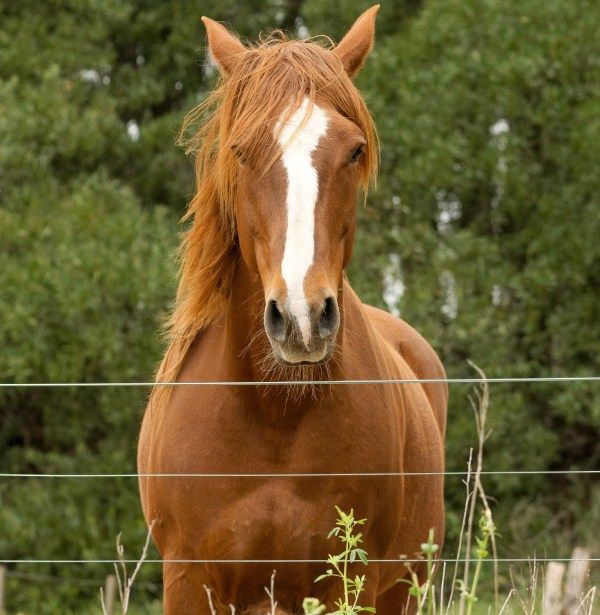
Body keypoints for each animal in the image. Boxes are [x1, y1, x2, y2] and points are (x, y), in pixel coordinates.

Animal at [137, 6, 446, 615]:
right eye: (240, 150)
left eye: (354, 150)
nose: (303, 319)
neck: (274, 415)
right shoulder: (188, 579)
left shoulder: (345, 580)